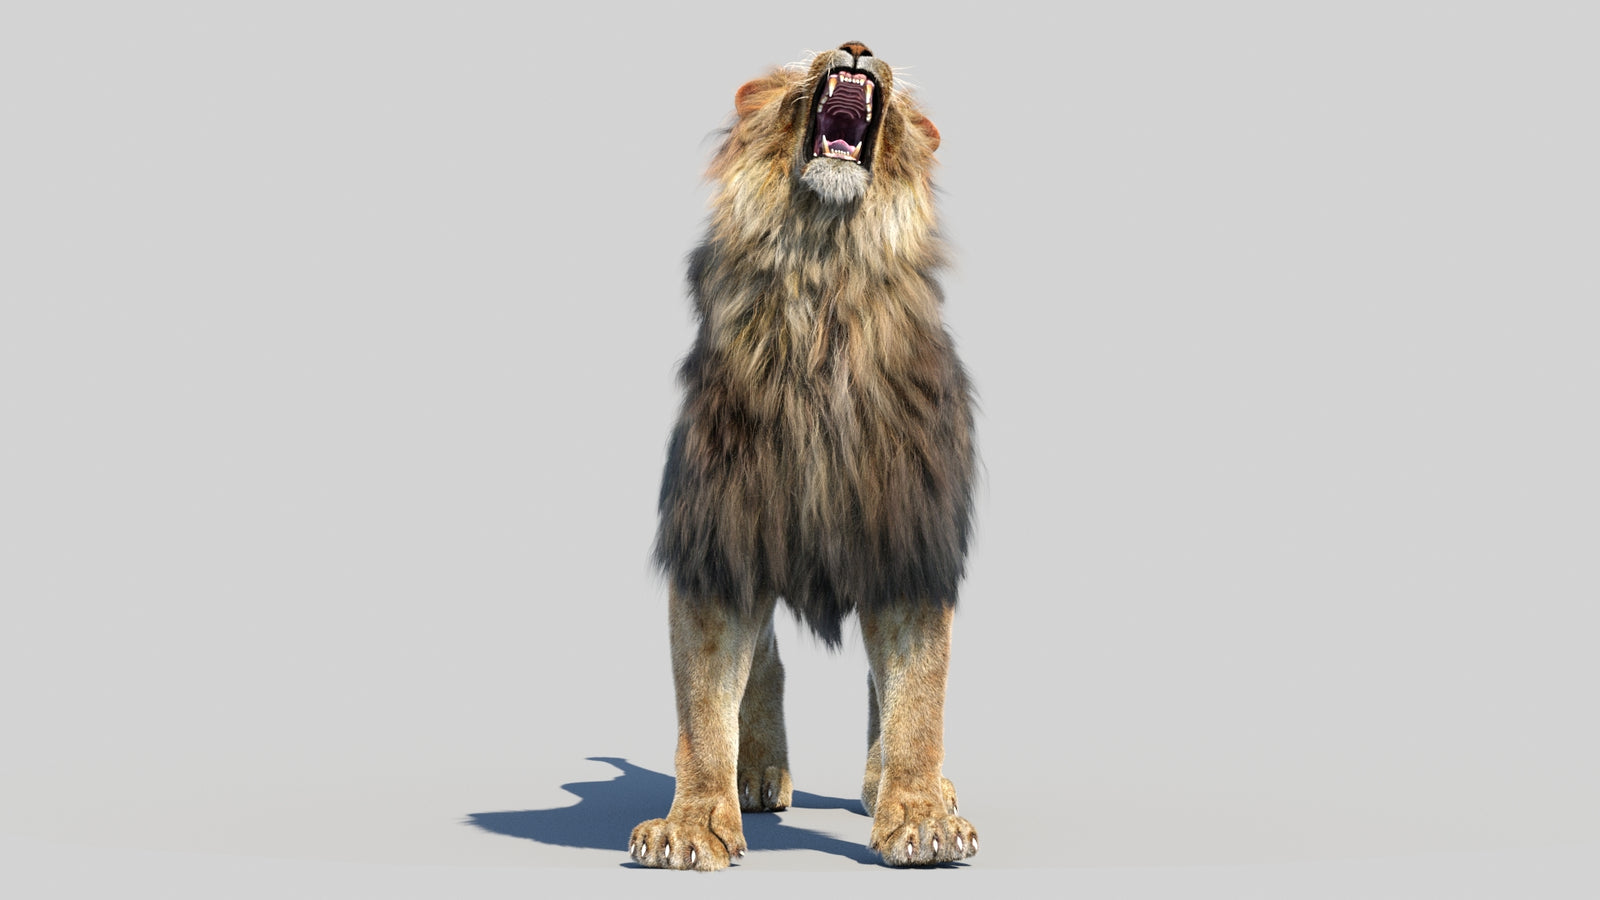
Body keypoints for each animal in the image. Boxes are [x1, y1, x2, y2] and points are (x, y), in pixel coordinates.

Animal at [630, 42, 978, 870]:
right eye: (796, 75)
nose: (855, 46)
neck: (824, 278)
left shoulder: (908, 540)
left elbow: (917, 695)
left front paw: (919, 817)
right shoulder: (718, 539)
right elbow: (703, 704)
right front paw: (694, 824)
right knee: (766, 660)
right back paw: (757, 773)